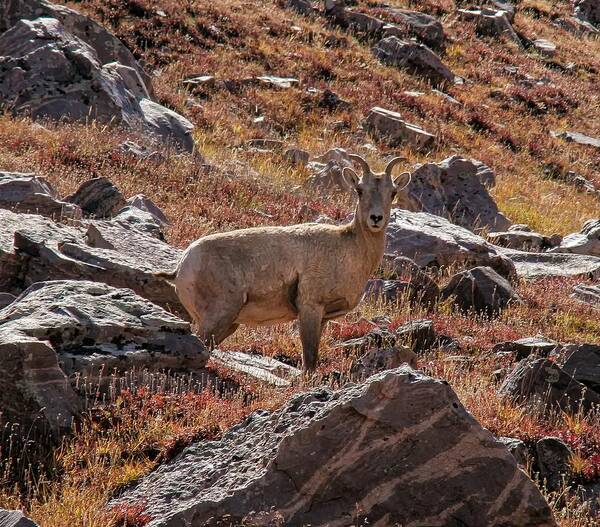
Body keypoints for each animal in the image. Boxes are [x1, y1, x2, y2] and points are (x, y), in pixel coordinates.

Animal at [159, 155, 410, 372]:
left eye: (392, 193)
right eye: (359, 190)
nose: (376, 219)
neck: (350, 252)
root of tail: (181, 267)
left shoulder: (323, 318)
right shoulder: (310, 308)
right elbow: (309, 359)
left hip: (227, 324)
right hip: (217, 317)